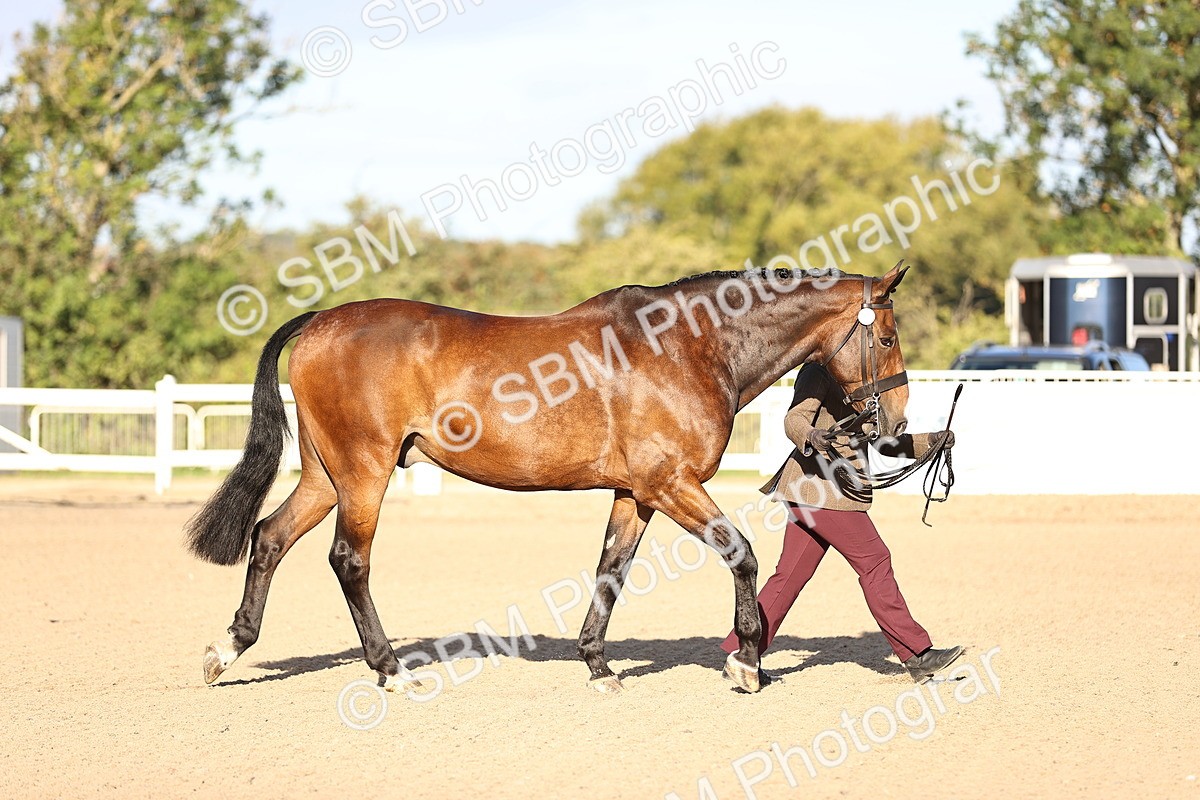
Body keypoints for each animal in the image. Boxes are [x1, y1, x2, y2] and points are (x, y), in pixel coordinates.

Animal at [186, 261, 911, 695]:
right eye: (888, 337)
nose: (895, 421)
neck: (687, 347)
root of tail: (320, 320)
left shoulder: (635, 493)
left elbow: (611, 570)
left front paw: (597, 664)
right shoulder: (672, 484)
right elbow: (742, 554)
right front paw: (745, 663)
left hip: (324, 475)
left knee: (270, 538)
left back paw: (227, 650)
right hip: (363, 473)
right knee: (349, 560)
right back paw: (390, 670)